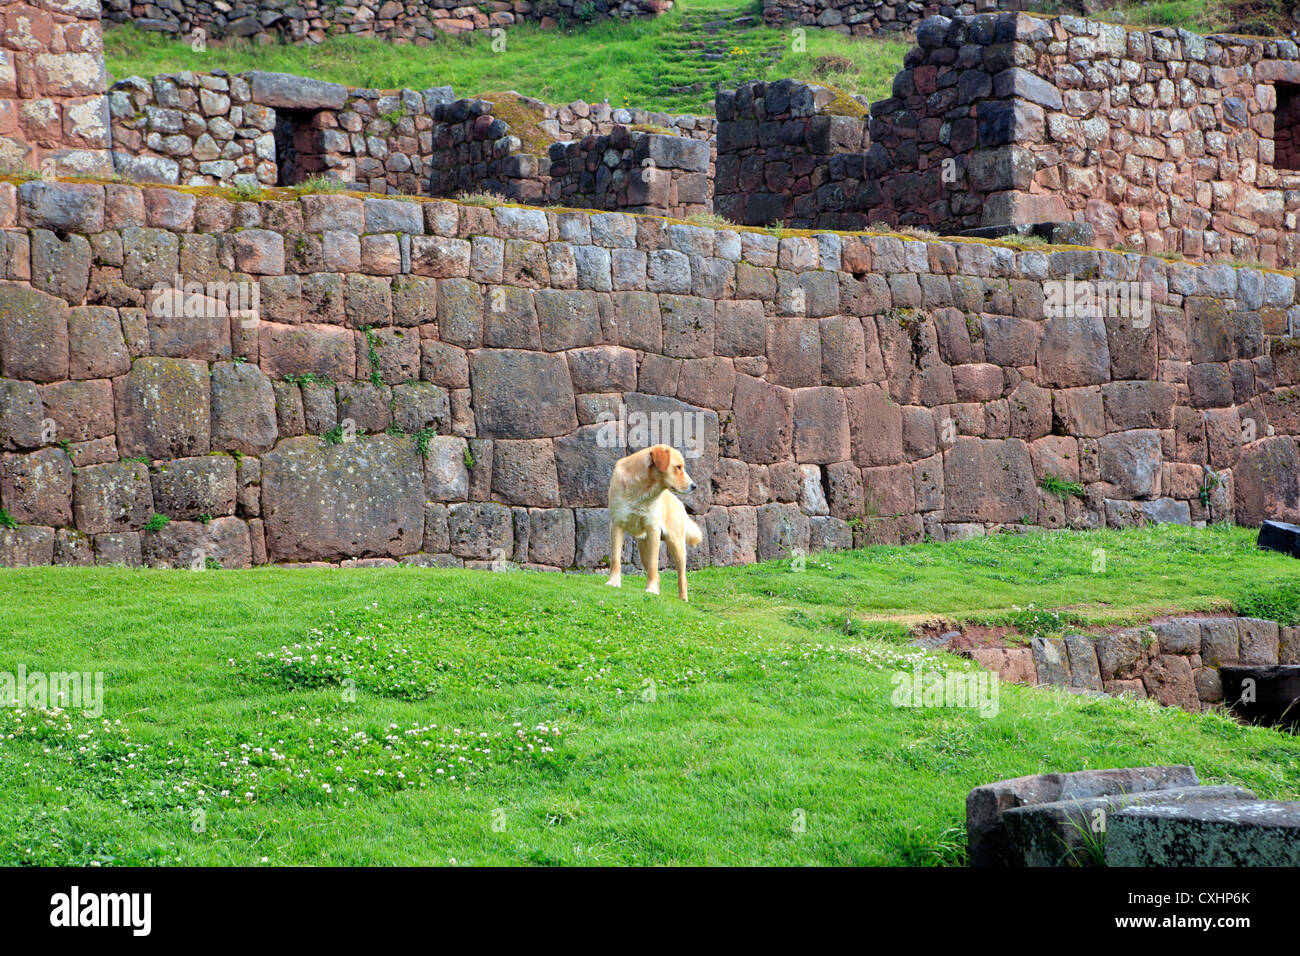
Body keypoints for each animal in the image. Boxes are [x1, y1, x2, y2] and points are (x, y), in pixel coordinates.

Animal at [605, 444, 702, 600]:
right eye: (679, 467)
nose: (694, 486)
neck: (642, 490)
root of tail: (679, 502)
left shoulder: (653, 530)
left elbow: (653, 566)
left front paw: (651, 590)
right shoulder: (616, 525)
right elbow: (615, 559)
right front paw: (614, 582)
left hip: (676, 545)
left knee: (682, 578)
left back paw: (683, 600)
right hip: (643, 549)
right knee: (658, 575)